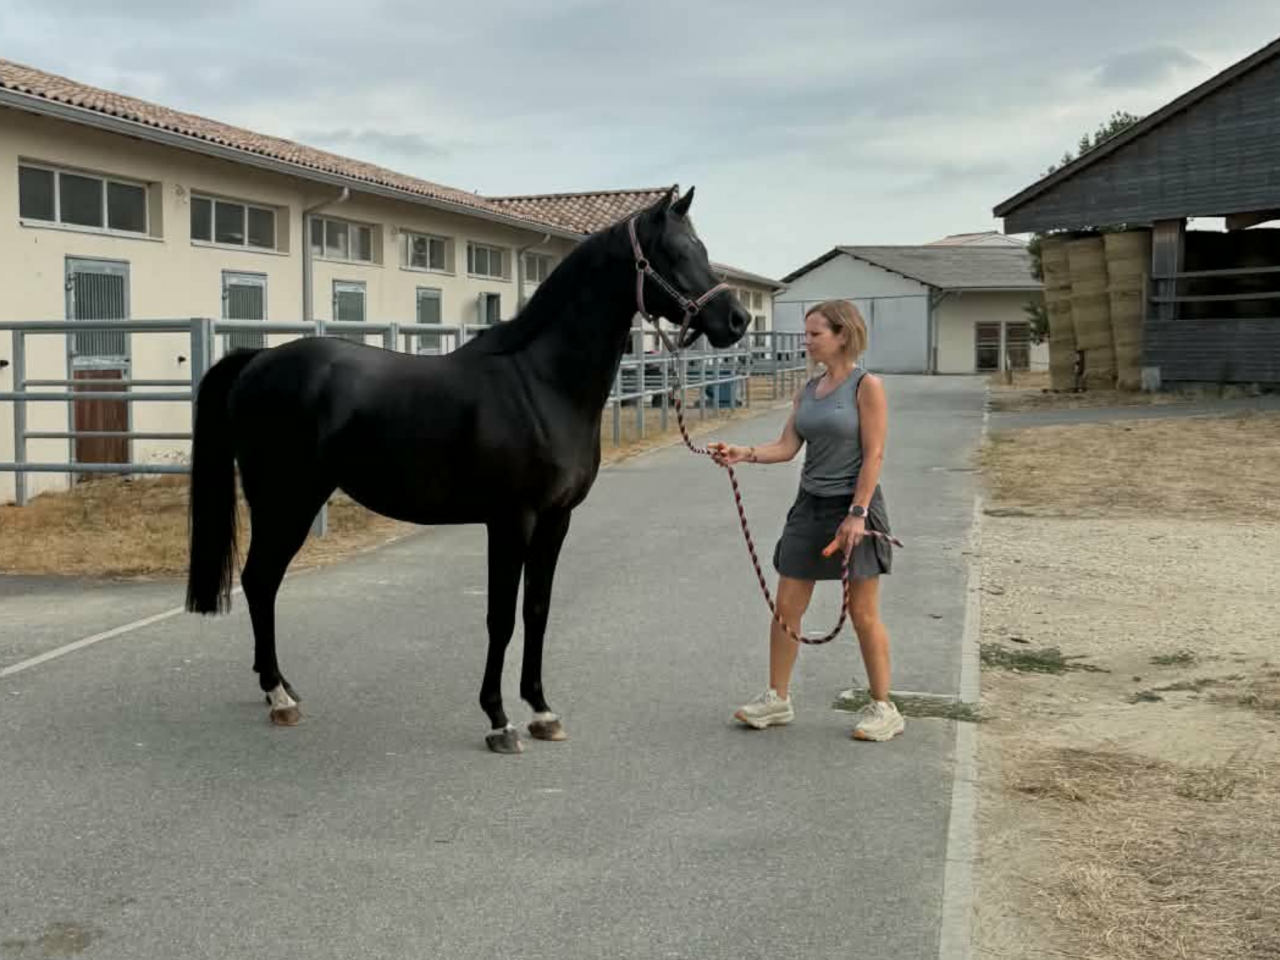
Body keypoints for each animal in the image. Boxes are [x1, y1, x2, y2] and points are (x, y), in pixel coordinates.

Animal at [183, 186, 751, 753]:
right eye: (673, 253)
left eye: (702, 249)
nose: (738, 320)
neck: (541, 384)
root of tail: (256, 361)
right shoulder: (510, 519)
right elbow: (500, 618)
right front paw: (498, 719)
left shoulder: (556, 519)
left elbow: (536, 610)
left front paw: (542, 711)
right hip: (285, 501)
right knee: (260, 580)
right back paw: (279, 696)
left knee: (263, 583)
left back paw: (280, 688)